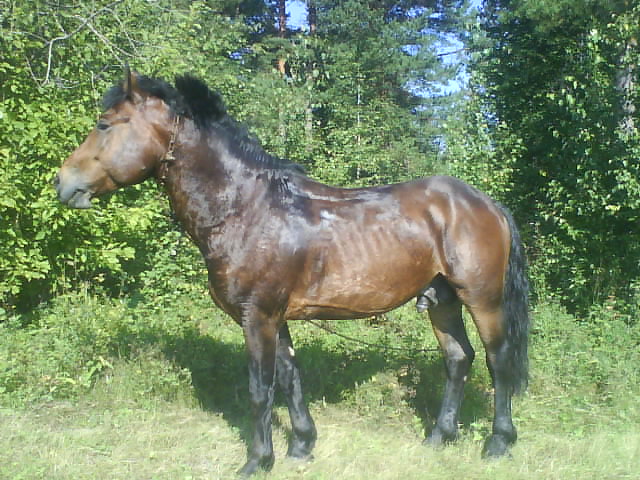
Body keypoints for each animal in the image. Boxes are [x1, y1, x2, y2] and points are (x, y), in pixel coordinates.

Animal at [55, 67, 529, 477]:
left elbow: (259, 389)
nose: (63, 183)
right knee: (458, 359)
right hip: (441, 300)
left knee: (497, 360)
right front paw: (301, 445)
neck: (247, 210)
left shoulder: (257, 317)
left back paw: (498, 442)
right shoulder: (274, 317)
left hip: (482, 299)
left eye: (104, 124)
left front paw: (257, 461)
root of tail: (484, 203)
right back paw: (438, 437)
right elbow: (289, 378)